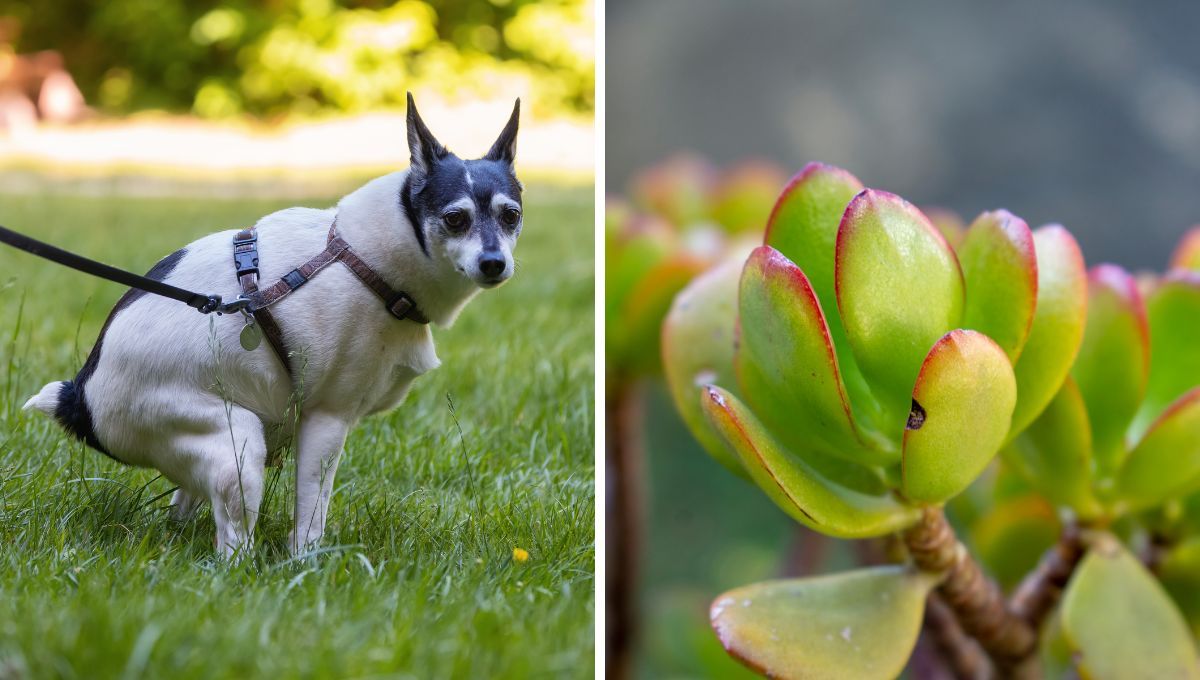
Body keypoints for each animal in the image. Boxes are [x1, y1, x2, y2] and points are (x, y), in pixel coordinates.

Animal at [21, 95, 523, 558]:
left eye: (511, 215)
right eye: (454, 219)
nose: (494, 263)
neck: (364, 257)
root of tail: (79, 398)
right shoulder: (326, 422)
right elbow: (311, 516)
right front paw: (306, 564)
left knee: (186, 506)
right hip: (236, 447)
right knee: (232, 546)